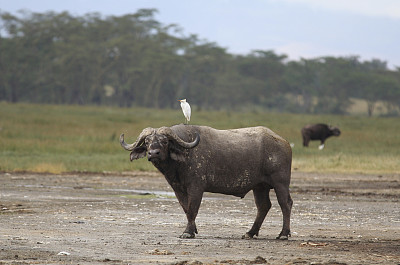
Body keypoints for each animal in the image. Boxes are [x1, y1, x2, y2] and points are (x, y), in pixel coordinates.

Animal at [120, 124, 292, 239]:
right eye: (147, 142)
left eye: (165, 141)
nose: (153, 153)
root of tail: (284, 142)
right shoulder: (178, 188)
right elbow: (186, 208)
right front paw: (193, 229)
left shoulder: (196, 187)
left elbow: (192, 209)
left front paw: (187, 232)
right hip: (259, 186)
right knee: (263, 206)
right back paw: (250, 233)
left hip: (281, 182)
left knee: (285, 203)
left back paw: (283, 234)